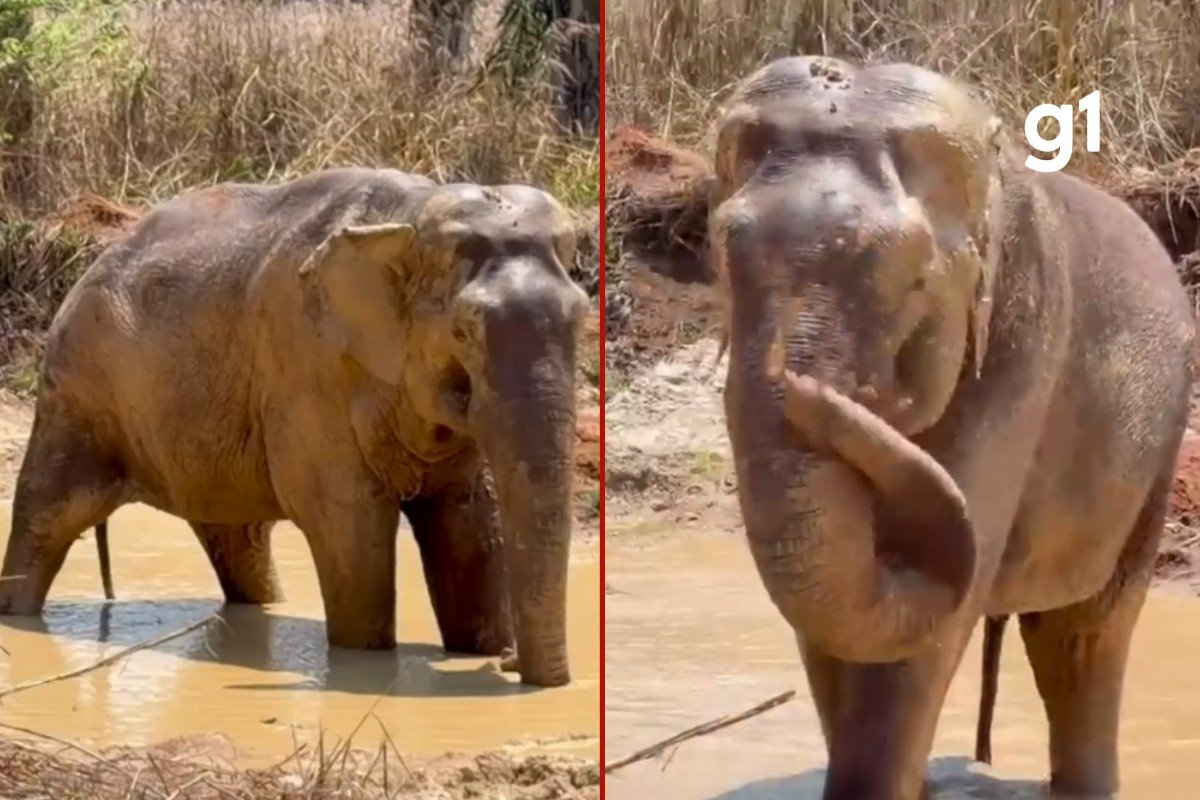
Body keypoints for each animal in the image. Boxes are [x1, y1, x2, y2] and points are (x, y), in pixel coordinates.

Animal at [0, 167, 589, 688]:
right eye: (465, 331)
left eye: (581, 317)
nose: (509, 665)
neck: (412, 211)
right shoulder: (305, 367)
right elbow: (347, 517)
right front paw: (367, 661)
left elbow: (470, 517)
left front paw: (477, 649)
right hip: (77, 393)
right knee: (49, 515)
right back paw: (18, 615)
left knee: (237, 540)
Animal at [676, 56, 1195, 798]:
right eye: (723, 253)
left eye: (913, 281)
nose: (797, 384)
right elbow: (831, 612)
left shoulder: (1022, 342)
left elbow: (931, 632)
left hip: (1161, 443)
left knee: (1089, 629)